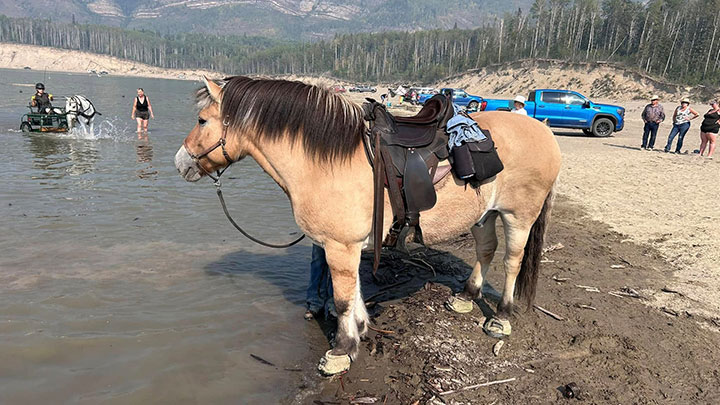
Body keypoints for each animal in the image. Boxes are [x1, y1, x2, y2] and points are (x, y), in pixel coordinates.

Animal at [174, 76, 562, 375]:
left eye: (202, 120)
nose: (180, 162)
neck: (327, 162)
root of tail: (543, 131)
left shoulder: (339, 246)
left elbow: (343, 299)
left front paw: (341, 351)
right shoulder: (346, 246)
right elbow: (354, 293)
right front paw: (359, 330)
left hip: (519, 215)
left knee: (512, 261)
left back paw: (502, 318)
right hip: (483, 214)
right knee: (486, 250)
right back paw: (467, 296)